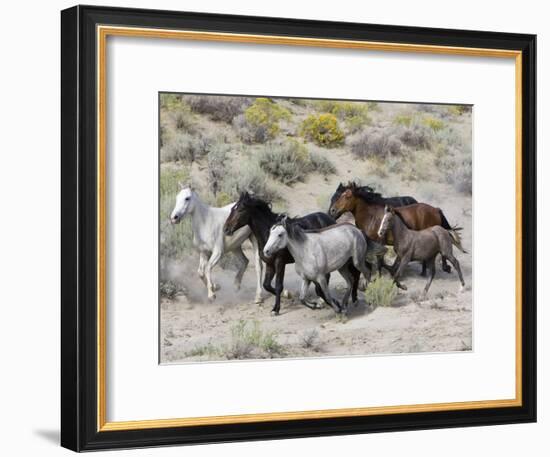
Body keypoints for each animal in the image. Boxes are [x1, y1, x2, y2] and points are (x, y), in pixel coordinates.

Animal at [224, 191, 362, 316]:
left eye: (240, 210)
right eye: (232, 209)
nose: (226, 229)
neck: (267, 235)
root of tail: (330, 218)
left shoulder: (280, 263)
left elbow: (278, 285)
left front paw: (276, 308)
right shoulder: (270, 264)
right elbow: (267, 285)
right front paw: (288, 295)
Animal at [330, 182, 464, 274]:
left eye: (347, 195)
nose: (332, 211)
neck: (370, 216)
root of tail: (436, 210)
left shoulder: (379, 242)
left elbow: (380, 262)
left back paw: (440, 268)